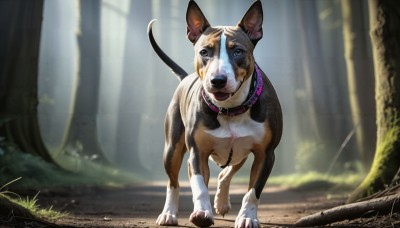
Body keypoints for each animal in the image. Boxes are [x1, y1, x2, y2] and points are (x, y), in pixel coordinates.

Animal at [146, 0, 282, 227]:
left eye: (238, 51)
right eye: (204, 52)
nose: (217, 80)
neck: (231, 108)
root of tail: (185, 78)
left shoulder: (266, 154)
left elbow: (253, 191)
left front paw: (247, 217)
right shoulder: (197, 151)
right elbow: (199, 185)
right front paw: (202, 212)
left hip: (240, 152)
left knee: (226, 173)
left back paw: (221, 203)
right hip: (172, 148)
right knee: (173, 181)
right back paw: (169, 213)